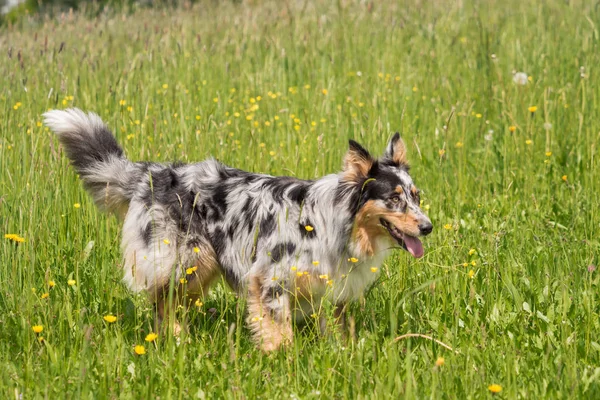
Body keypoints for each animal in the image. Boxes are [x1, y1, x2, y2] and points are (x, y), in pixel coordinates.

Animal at [44, 108, 434, 352]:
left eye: (415, 196)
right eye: (395, 198)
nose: (428, 227)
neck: (336, 222)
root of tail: (151, 172)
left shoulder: (327, 288)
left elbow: (334, 330)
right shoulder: (269, 280)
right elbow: (280, 334)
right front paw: (281, 363)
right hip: (187, 259)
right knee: (161, 300)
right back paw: (177, 341)